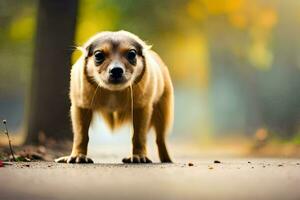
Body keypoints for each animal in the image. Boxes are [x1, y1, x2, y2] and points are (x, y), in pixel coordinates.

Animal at [55, 30, 175, 163]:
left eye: (132, 54)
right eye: (98, 55)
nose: (116, 70)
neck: (114, 92)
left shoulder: (142, 109)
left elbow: (139, 136)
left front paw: (138, 156)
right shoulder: (81, 108)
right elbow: (81, 135)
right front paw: (78, 155)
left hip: (162, 112)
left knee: (160, 138)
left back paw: (166, 158)